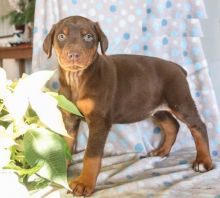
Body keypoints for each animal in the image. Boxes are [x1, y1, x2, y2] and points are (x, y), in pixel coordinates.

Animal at [43, 15, 213, 196]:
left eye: (88, 37)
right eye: (61, 36)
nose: (74, 54)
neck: (77, 79)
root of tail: (177, 67)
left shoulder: (99, 121)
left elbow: (91, 155)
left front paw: (84, 182)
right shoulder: (69, 118)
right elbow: (65, 144)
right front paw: (60, 171)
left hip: (179, 101)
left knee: (198, 126)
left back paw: (203, 161)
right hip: (155, 107)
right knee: (172, 125)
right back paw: (161, 151)